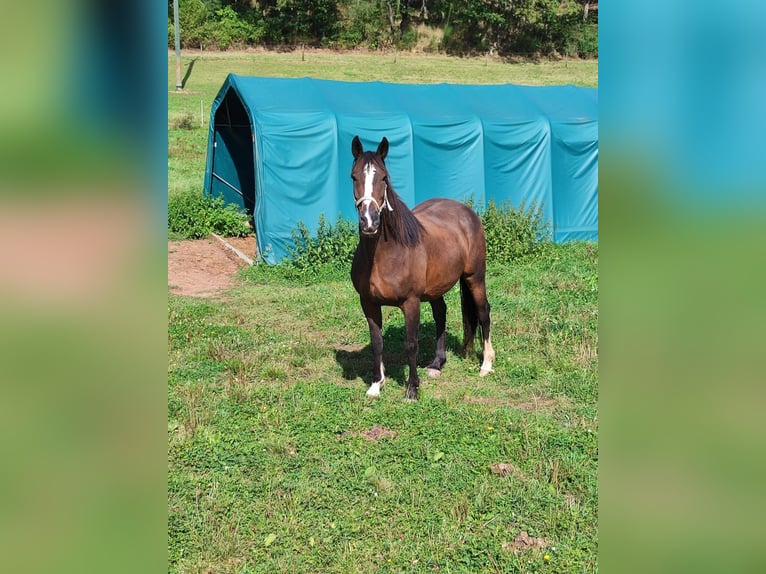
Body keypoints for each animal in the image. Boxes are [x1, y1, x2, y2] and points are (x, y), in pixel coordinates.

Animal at [349, 135, 495, 400]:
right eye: (354, 177)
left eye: (384, 177)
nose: (369, 222)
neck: (385, 255)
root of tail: (466, 212)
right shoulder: (368, 303)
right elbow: (377, 342)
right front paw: (376, 385)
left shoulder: (411, 302)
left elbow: (411, 343)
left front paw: (412, 390)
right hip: (436, 288)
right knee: (441, 314)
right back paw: (437, 364)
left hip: (475, 277)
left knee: (483, 312)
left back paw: (486, 364)